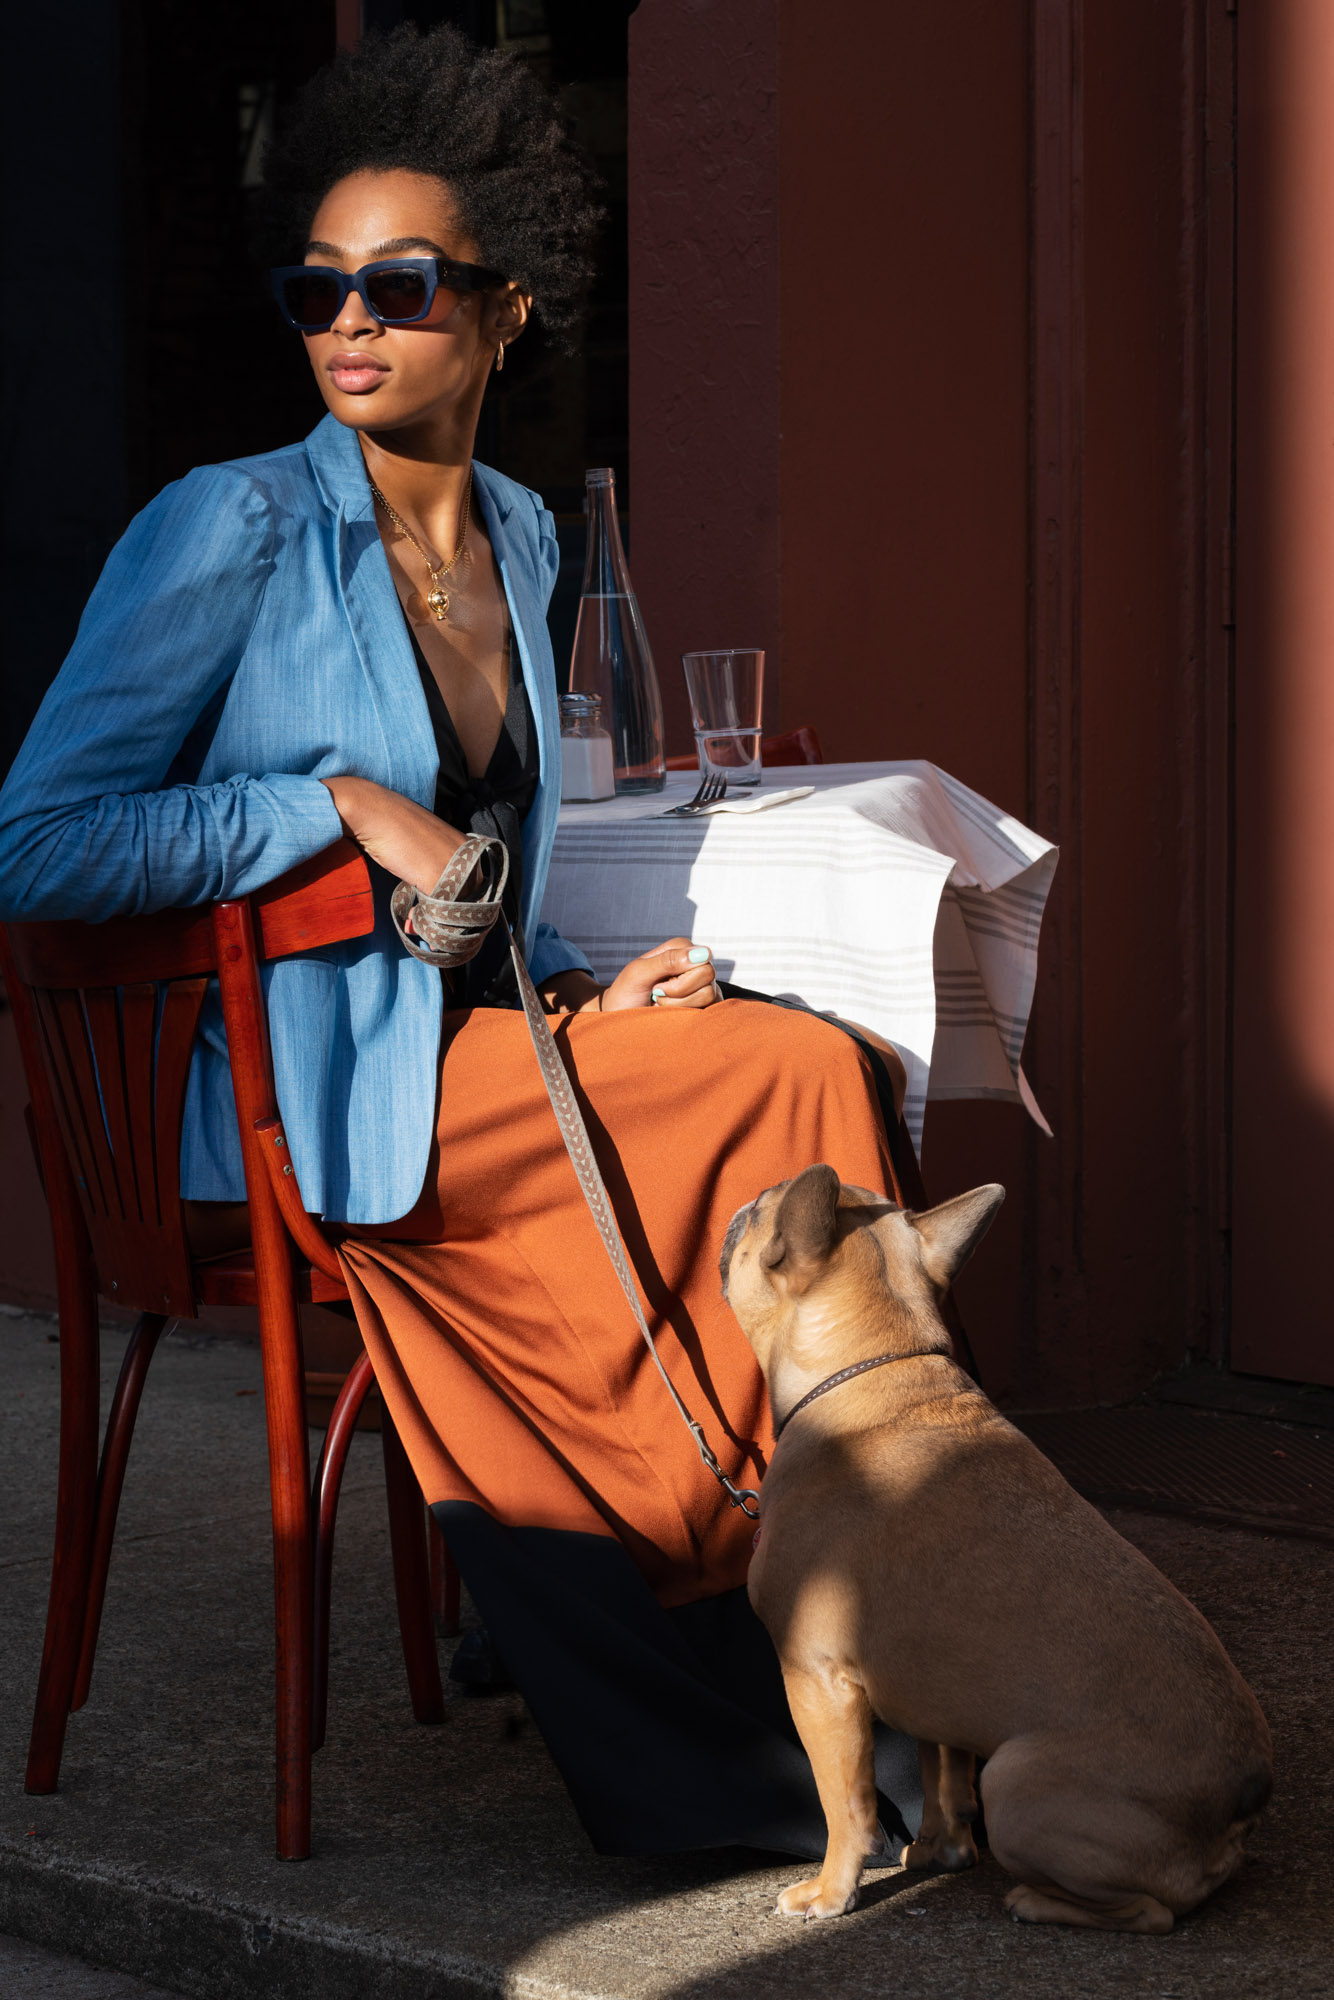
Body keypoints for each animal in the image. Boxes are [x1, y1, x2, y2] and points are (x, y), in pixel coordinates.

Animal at [720, 1168, 1272, 1928]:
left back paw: (1034, 1901)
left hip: (1013, 1783)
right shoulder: (929, 1693)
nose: (736, 1209)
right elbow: (940, 1775)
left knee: (1149, 1913)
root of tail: (1241, 1805)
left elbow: (846, 1806)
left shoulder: (816, 1679)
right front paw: (938, 1851)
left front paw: (831, 1892)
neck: (872, 1368)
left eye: (759, 1214)